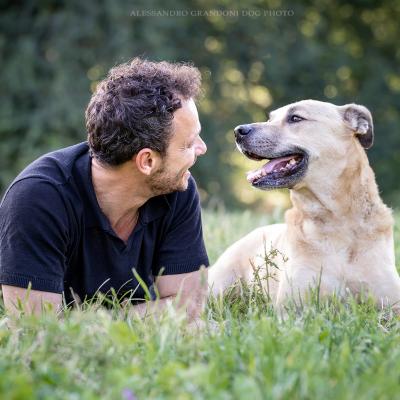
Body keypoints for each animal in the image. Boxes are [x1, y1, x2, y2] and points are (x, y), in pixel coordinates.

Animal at [208, 99, 400, 310]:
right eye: (270, 119)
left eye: (295, 118)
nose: (238, 131)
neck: (337, 221)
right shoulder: (293, 307)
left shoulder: (391, 302)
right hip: (217, 287)